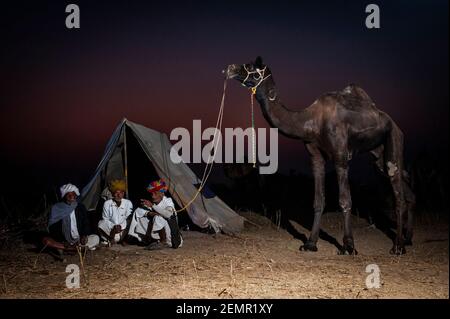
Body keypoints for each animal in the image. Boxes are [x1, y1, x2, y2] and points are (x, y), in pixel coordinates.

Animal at [225, 55, 414, 255]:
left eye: (251, 67)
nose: (230, 68)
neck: (311, 122)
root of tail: (395, 124)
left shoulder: (340, 156)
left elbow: (345, 200)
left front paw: (348, 246)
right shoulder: (315, 157)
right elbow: (317, 201)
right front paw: (310, 243)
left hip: (394, 139)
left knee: (398, 193)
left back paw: (398, 246)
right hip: (378, 155)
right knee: (404, 190)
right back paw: (408, 239)